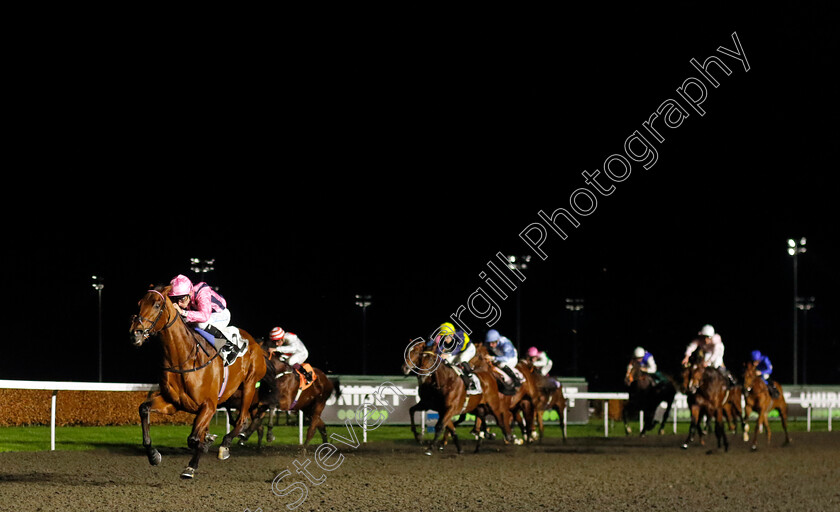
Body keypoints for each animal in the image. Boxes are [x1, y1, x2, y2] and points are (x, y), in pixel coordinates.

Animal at [130, 286, 266, 478]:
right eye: (140, 303)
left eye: (156, 305)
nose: (136, 333)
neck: (184, 359)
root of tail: (254, 342)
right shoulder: (173, 403)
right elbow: (144, 409)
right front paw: (153, 455)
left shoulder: (209, 404)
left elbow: (193, 439)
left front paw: (192, 464)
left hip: (249, 385)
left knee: (242, 420)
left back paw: (225, 445)